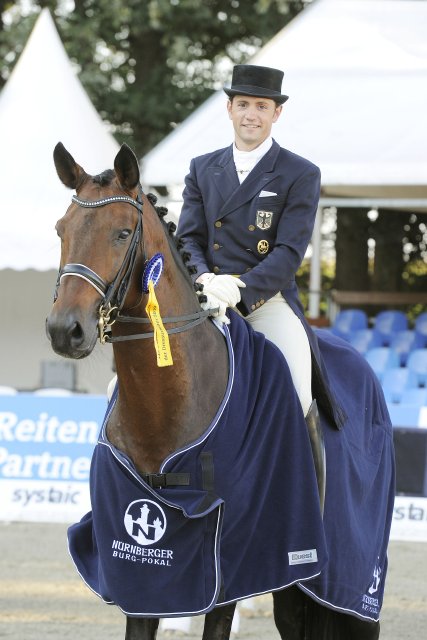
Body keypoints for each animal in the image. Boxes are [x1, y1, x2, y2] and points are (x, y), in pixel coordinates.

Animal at [46, 144, 394, 640]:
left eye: (122, 233)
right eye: (62, 230)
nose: (64, 330)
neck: (166, 408)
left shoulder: (234, 567)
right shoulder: (142, 570)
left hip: (341, 579)